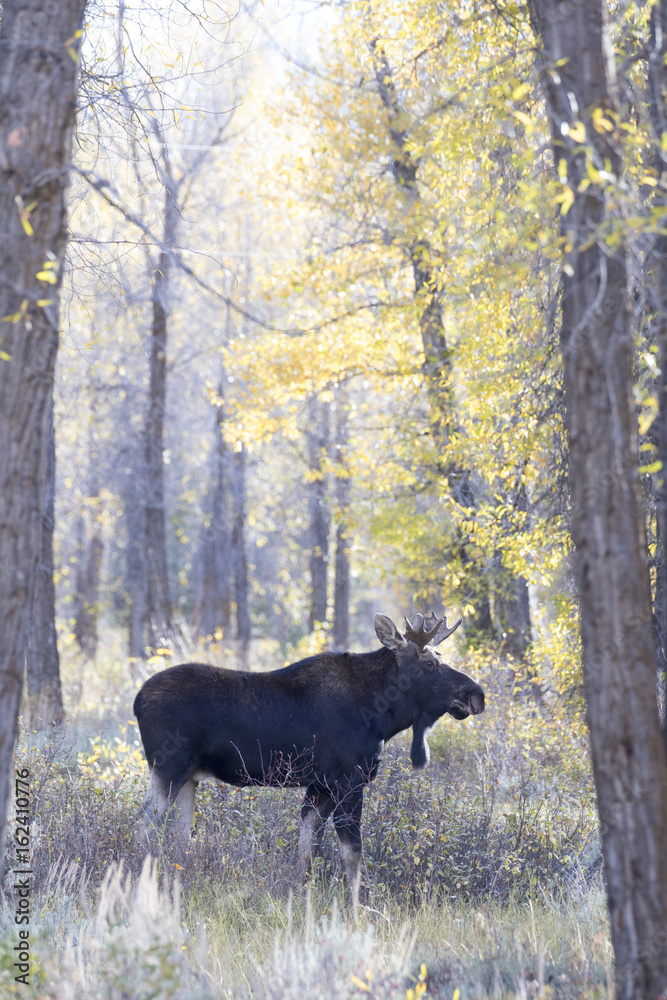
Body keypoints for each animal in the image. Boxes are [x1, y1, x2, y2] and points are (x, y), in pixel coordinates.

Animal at [133, 611, 485, 919]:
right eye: (429, 662)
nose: (476, 694)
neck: (383, 716)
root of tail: (137, 701)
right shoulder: (348, 780)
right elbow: (352, 851)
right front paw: (360, 907)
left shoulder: (320, 786)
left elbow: (308, 849)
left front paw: (300, 896)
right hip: (169, 767)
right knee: (145, 826)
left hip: (189, 777)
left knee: (179, 837)